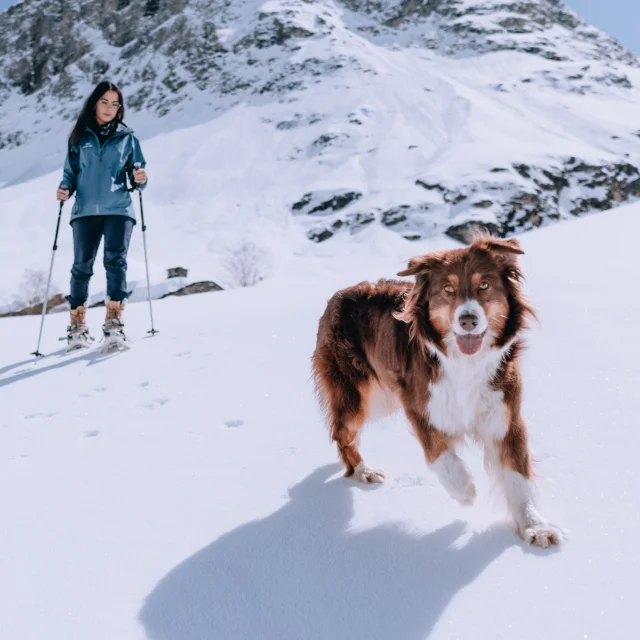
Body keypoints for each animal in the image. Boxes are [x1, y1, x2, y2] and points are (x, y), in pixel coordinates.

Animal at [312, 238, 564, 548]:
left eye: (484, 285)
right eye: (448, 289)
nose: (468, 320)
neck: (465, 363)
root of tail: (339, 295)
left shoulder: (505, 416)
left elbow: (517, 477)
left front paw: (535, 527)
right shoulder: (419, 404)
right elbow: (439, 453)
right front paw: (464, 489)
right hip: (361, 395)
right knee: (342, 432)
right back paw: (363, 471)